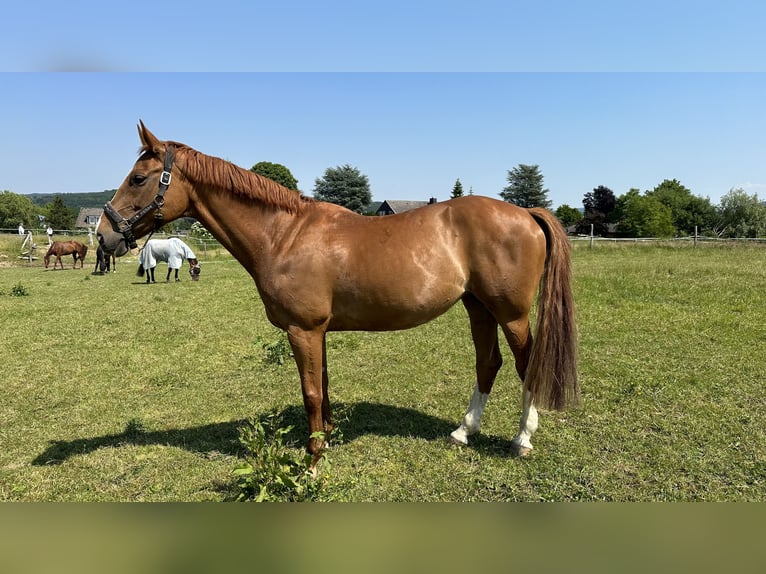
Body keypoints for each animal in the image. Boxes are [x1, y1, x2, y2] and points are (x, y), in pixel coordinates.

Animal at [96, 124, 580, 470]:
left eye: (138, 178)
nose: (104, 237)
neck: (284, 235)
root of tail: (524, 213)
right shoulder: (318, 332)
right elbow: (324, 386)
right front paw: (325, 439)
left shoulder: (303, 330)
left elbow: (310, 391)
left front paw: (312, 460)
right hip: (478, 306)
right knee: (488, 363)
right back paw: (464, 431)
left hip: (511, 313)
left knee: (526, 365)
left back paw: (521, 439)